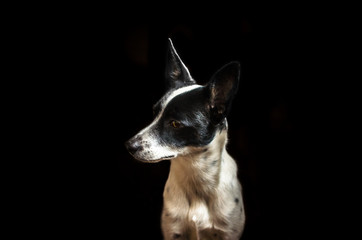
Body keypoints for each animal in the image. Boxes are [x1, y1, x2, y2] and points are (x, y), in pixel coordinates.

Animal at [125, 38, 246, 239]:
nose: (129, 146)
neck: (195, 172)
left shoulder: (228, 232)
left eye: (175, 124)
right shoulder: (174, 230)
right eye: (155, 113)